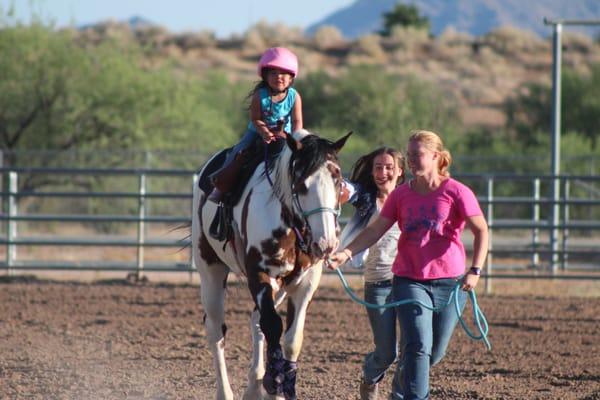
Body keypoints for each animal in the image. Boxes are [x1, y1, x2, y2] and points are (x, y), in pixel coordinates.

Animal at [192, 130, 352, 398]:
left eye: (338, 180)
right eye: (302, 183)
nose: (326, 242)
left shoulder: (306, 282)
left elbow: (291, 338)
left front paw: (279, 386)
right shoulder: (260, 275)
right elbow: (273, 326)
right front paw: (273, 384)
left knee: (255, 321)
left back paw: (253, 386)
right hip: (210, 270)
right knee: (216, 330)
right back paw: (226, 392)